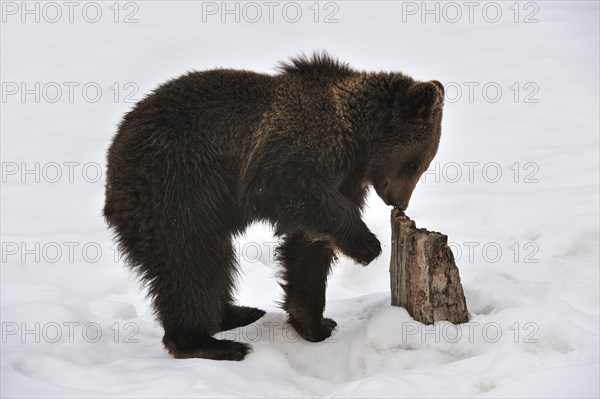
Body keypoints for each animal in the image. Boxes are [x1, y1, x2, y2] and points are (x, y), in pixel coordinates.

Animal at [103, 51, 442, 360]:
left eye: (423, 164)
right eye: (415, 164)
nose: (400, 202)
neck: (356, 139)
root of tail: (112, 164)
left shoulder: (342, 181)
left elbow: (309, 247)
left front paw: (315, 323)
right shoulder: (298, 145)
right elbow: (280, 185)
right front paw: (368, 245)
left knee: (213, 261)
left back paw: (237, 312)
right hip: (174, 186)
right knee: (192, 261)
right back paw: (212, 343)